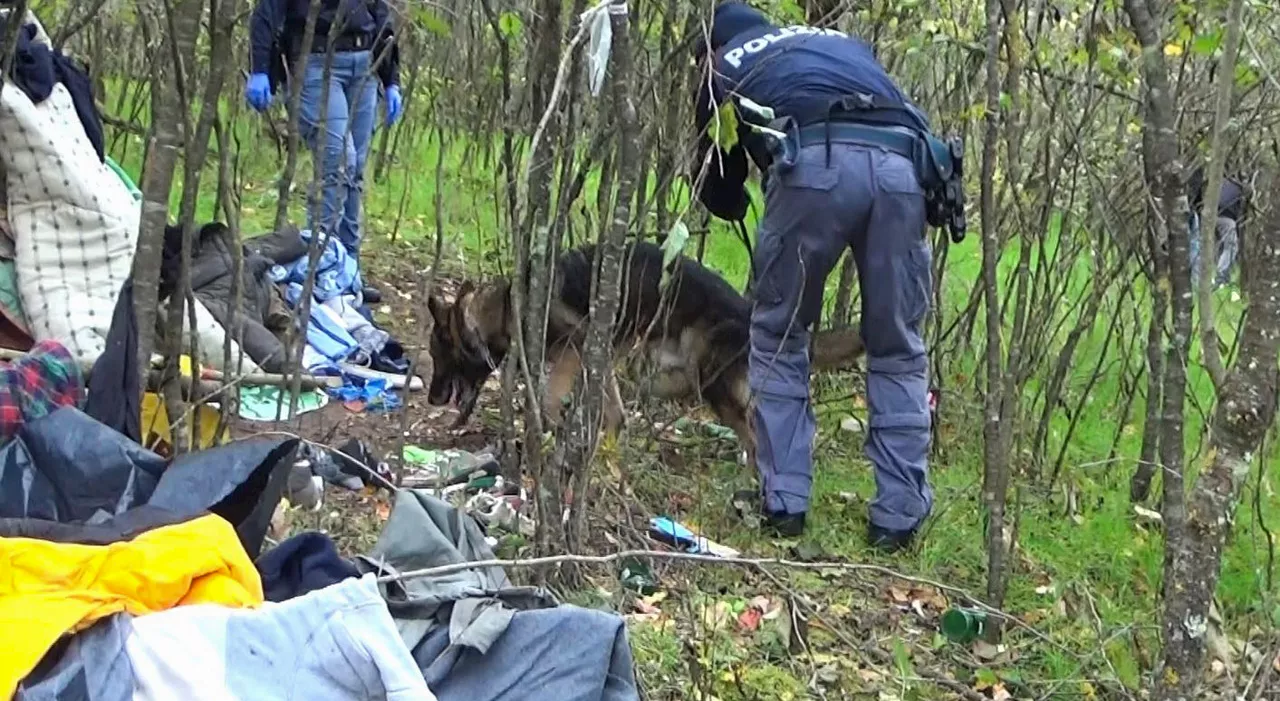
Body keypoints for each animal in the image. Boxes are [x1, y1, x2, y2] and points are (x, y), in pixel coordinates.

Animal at [424, 240, 865, 465]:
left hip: (713, 387)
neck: (505, 307)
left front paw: (548, 434)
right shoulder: (600, 357)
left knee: (758, 440)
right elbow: (615, 414)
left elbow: (549, 398)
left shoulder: (574, 349)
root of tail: (746, 311)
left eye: (438, 355)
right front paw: (606, 454)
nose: (430, 398)